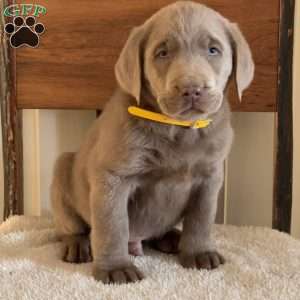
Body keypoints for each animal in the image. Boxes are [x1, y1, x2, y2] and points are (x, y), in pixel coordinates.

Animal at [51, 0, 253, 284]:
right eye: (162, 53)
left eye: (213, 50)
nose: (191, 89)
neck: (179, 130)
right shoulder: (112, 177)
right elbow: (113, 225)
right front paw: (115, 268)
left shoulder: (210, 177)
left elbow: (201, 219)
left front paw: (199, 252)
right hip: (62, 169)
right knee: (71, 226)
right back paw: (77, 244)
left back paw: (173, 238)